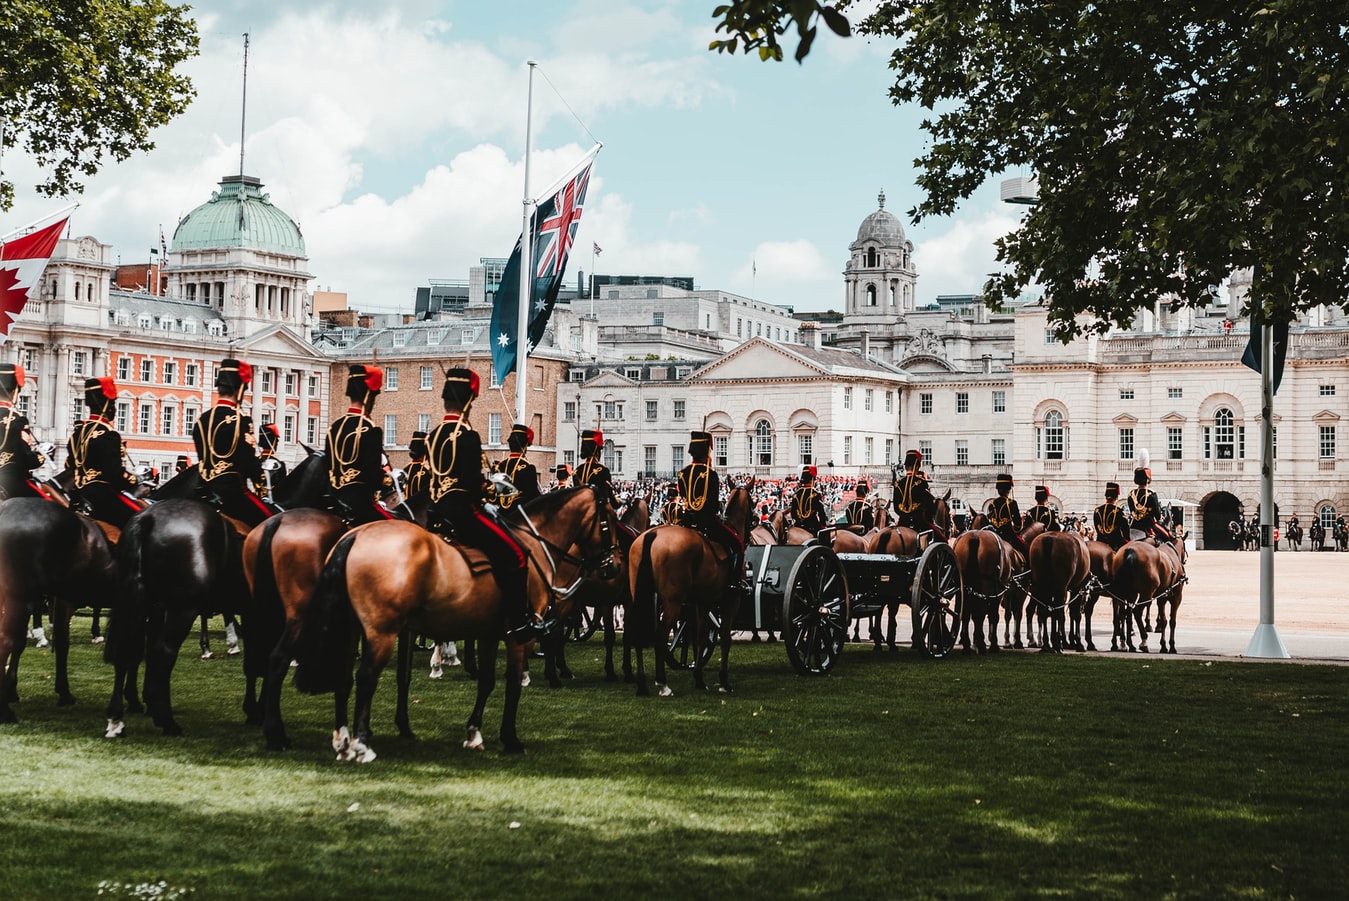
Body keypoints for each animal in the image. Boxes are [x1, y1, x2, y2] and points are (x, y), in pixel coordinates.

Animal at [295, 485, 620, 760]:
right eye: (609, 520)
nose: (615, 566)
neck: (535, 545)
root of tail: (356, 535)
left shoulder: (489, 633)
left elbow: (487, 682)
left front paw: (474, 733)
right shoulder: (521, 636)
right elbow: (513, 684)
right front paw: (511, 739)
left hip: (351, 629)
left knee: (343, 676)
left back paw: (343, 740)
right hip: (381, 631)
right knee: (365, 677)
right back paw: (362, 744)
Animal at [625, 485, 755, 695]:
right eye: (752, 502)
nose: (755, 522)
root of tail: (652, 535)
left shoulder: (702, 603)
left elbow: (699, 638)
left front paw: (699, 679)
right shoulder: (730, 601)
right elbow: (725, 638)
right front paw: (724, 681)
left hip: (640, 596)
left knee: (637, 630)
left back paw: (642, 684)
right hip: (672, 602)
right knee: (660, 634)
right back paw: (662, 684)